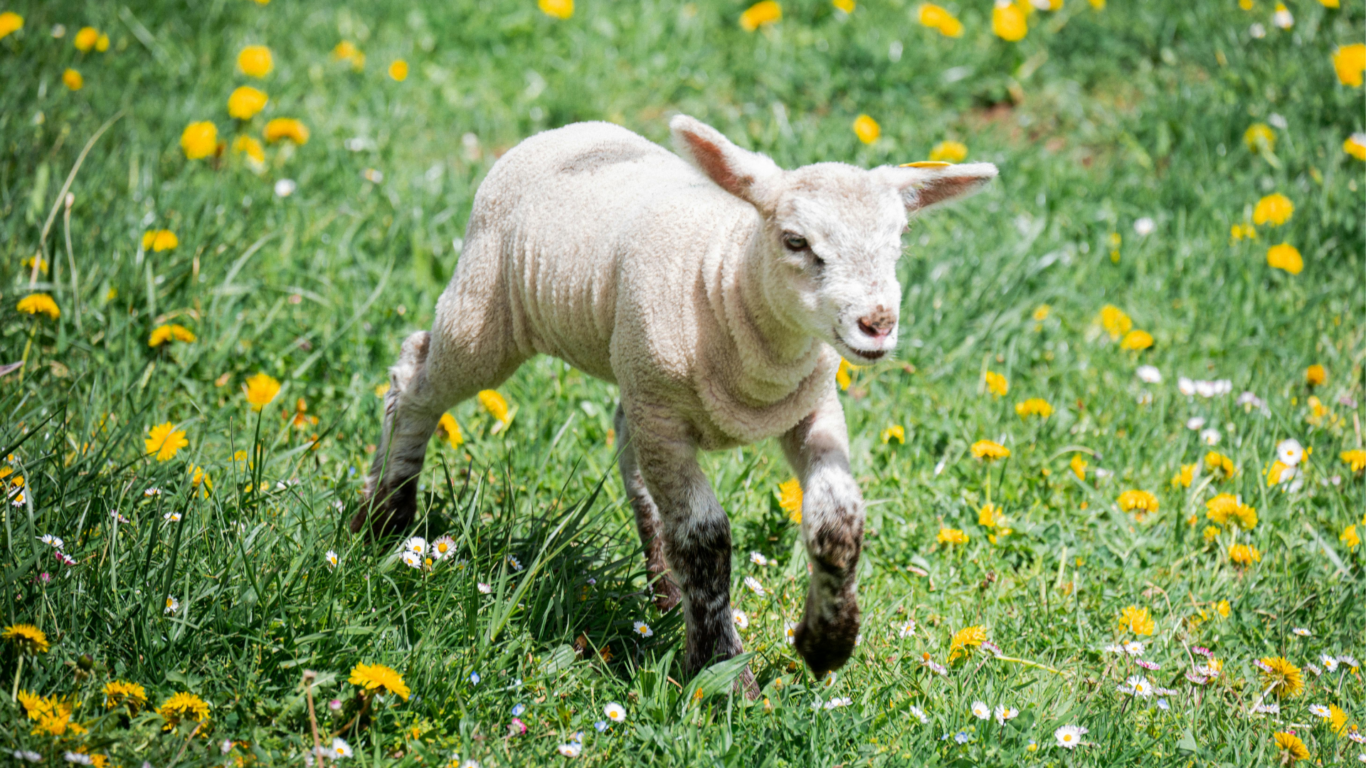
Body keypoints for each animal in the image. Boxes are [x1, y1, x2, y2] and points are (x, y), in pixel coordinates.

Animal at [351, 115, 997, 691]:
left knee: (626, 445)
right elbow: (705, 537)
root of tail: (567, 130)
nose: (877, 324)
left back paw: (663, 591)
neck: (727, 283)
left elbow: (838, 522)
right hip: (487, 311)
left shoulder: (812, 409)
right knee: (414, 375)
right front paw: (723, 673)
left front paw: (825, 643)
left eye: (898, 243)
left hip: (630, 373)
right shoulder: (664, 415)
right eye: (797, 242)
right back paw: (382, 520)